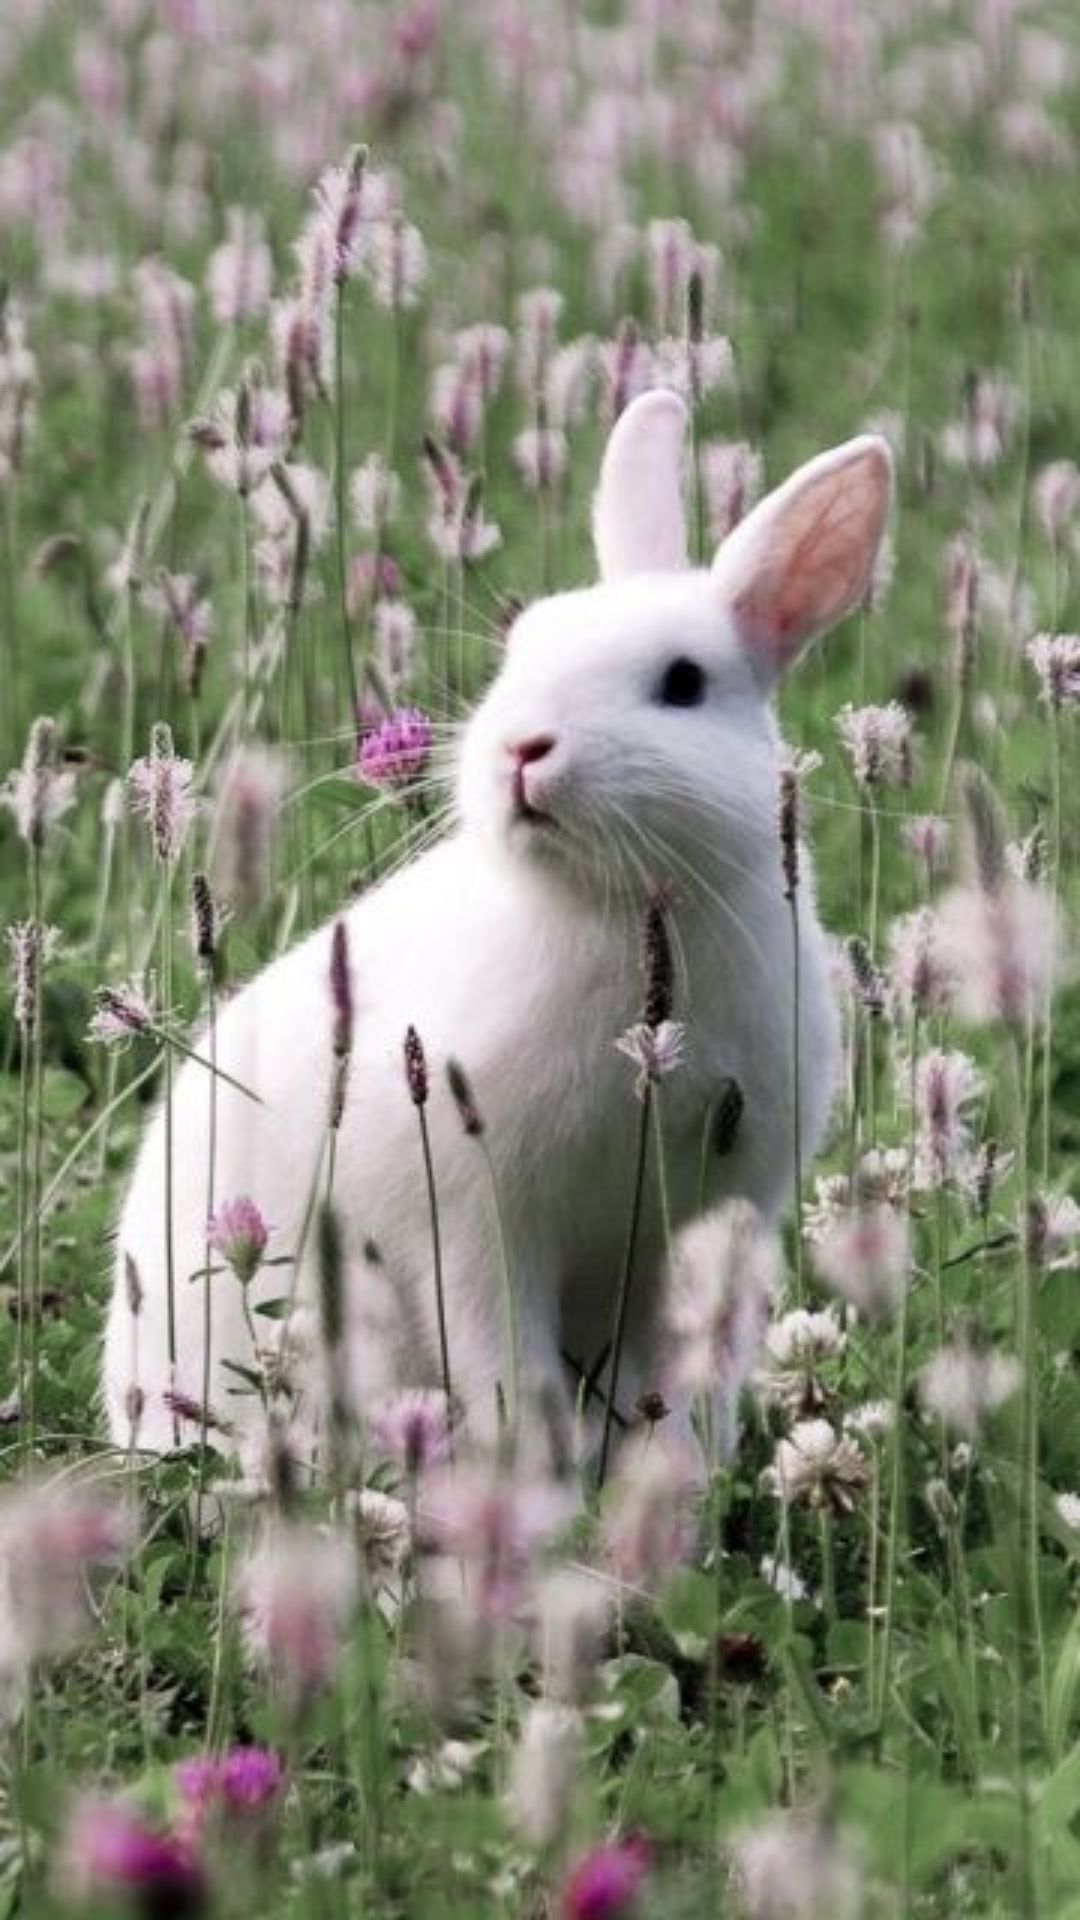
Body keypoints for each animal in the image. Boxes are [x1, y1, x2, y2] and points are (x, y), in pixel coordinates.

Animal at [102, 389, 892, 1471]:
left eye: (684, 683)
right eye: (523, 648)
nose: (524, 748)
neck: (609, 908)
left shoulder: (712, 1222)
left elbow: (681, 1386)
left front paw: (671, 1489)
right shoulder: (477, 1228)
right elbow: (506, 1371)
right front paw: (541, 1486)